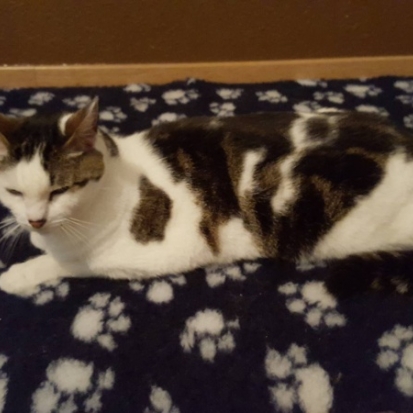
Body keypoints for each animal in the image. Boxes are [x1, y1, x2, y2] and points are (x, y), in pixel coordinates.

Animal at [0, 97, 413, 297]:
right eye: (14, 191)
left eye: (59, 190)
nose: (35, 220)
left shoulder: (150, 252)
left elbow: (71, 264)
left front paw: (17, 275)